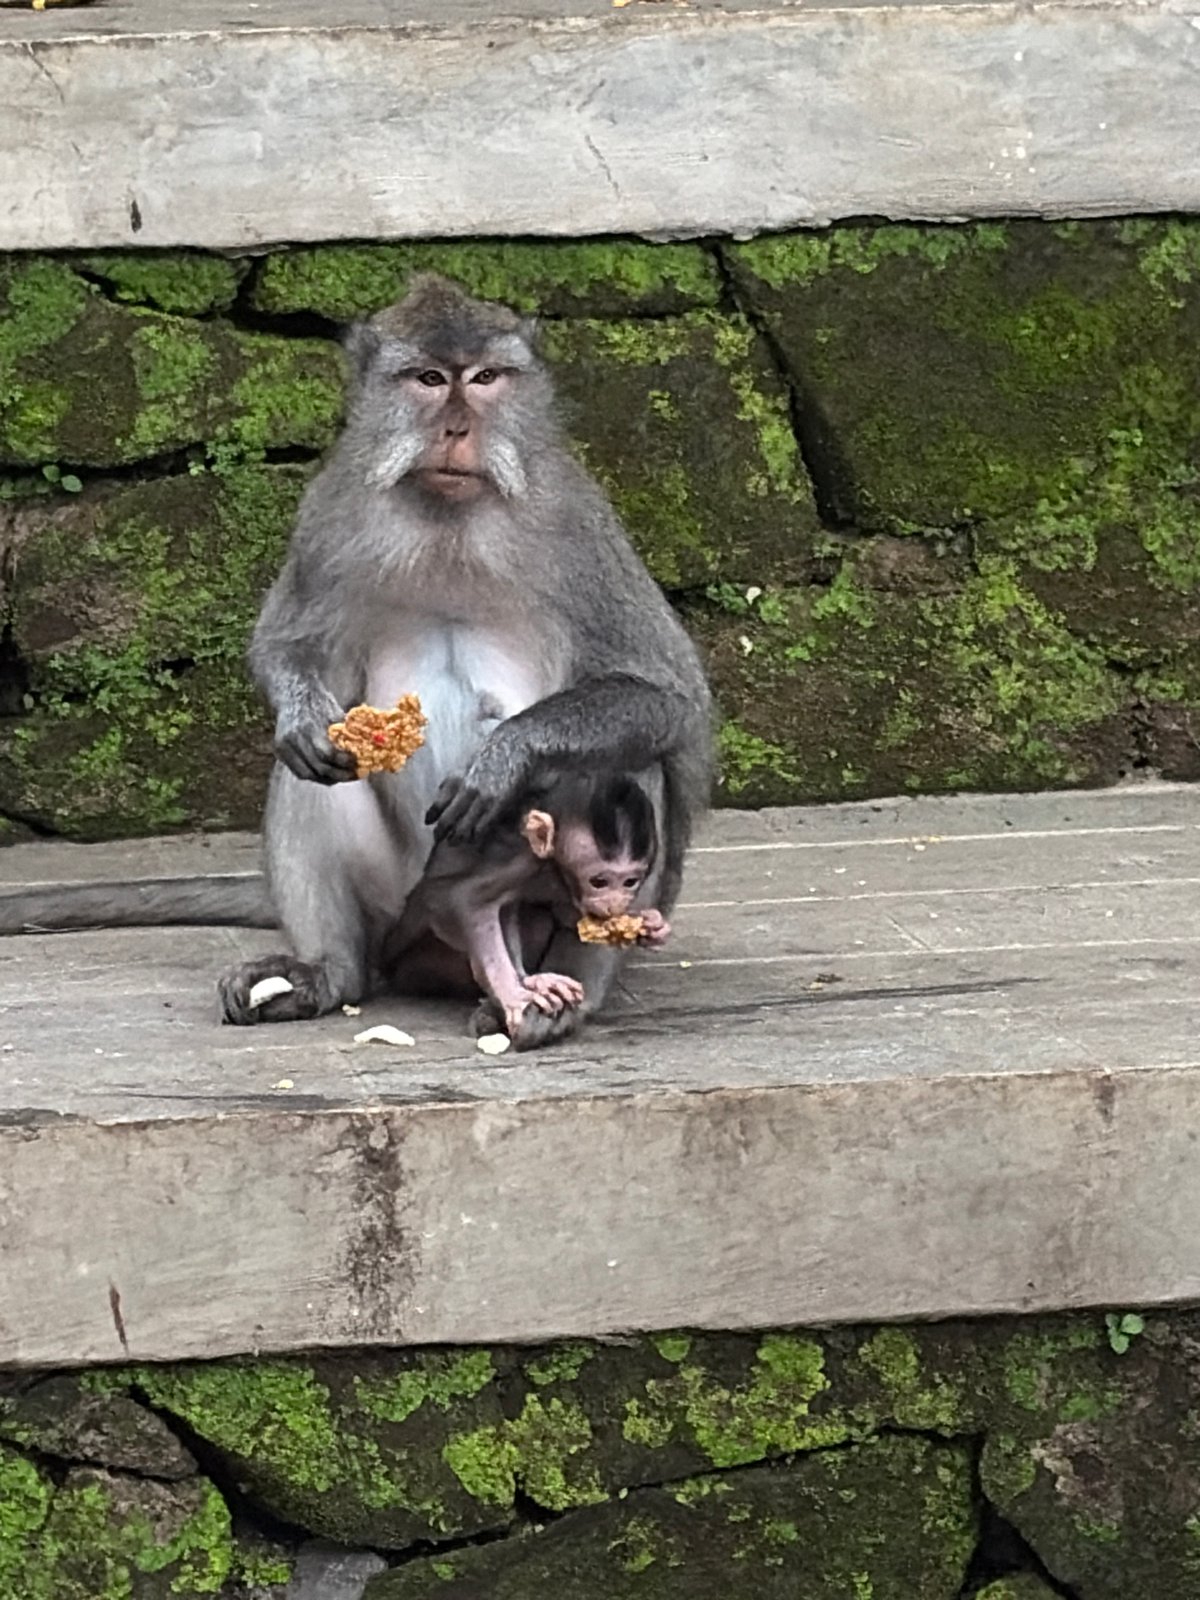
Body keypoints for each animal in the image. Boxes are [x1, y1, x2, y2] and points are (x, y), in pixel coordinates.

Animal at [387, 769, 671, 1040]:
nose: (615, 903)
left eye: (630, 882)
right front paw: (513, 994)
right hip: (421, 966)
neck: (553, 867)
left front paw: (651, 925)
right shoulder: (521, 861)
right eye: (599, 881)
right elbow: (460, 899)